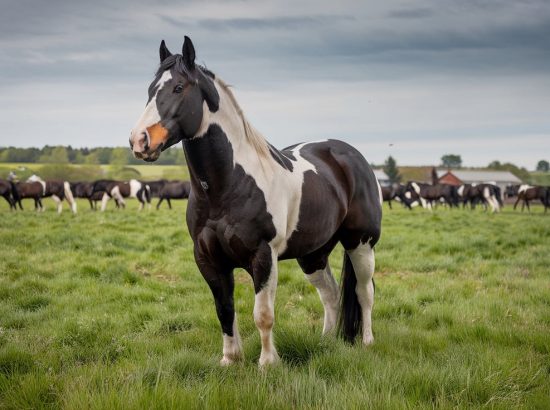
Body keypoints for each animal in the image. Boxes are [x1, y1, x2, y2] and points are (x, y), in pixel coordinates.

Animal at [129, 36, 384, 366]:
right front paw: (230, 360)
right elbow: (224, 310)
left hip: (360, 244)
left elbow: (263, 314)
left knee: (365, 292)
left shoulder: (263, 256)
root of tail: (351, 156)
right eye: (150, 90)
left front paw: (267, 363)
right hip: (313, 254)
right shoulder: (207, 259)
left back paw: (367, 342)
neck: (227, 187)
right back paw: (326, 342)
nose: (140, 140)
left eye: (179, 87)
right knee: (331, 294)